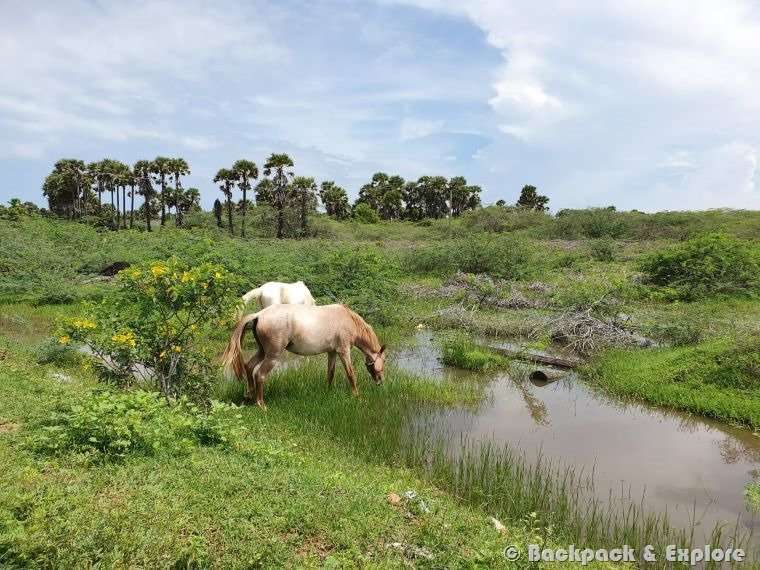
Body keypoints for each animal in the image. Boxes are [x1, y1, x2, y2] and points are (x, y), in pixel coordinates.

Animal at [220, 302, 386, 404]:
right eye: (383, 362)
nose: (380, 381)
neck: (347, 319)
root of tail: (259, 314)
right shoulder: (343, 351)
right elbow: (351, 374)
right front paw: (356, 396)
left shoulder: (332, 352)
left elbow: (330, 374)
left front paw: (328, 391)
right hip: (272, 355)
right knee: (260, 375)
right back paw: (261, 404)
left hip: (262, 351)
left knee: (249, 367)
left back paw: (249, 395)